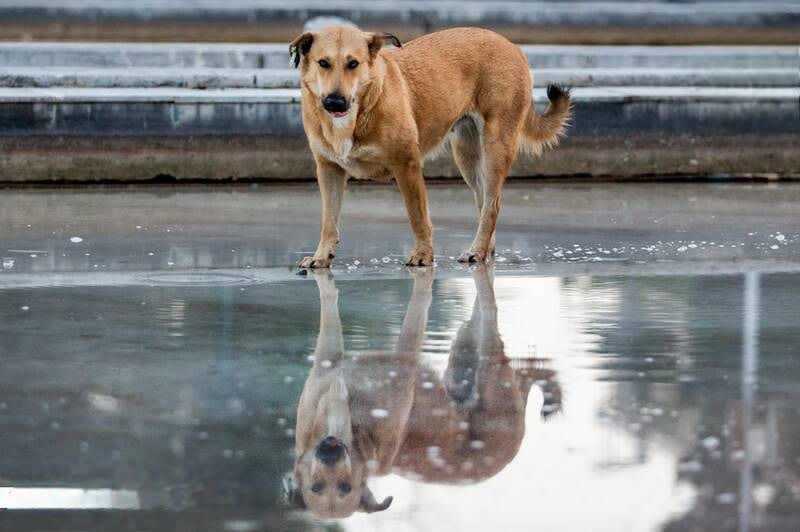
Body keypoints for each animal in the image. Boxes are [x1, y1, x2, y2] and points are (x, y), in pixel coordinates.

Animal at [286, 268, 564, 516]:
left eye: (346, 488)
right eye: (316, 487)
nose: (330, 451)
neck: (349, 423)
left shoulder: (405, 361)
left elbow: (418, 305)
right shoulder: (328, 358)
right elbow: (329, 300)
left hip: (490, 360)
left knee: (494, 314)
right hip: (466, 348)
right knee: (523, 368)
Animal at [290, 25, 572, 268]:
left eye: (353, 63)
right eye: (323, 63)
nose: (335, 102)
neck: (360, 109)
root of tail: (511, 45)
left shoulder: (407, 165)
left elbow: (417, 216)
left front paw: (423, 255)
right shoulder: (328, 170)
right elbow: (328, 220)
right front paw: (321, 256)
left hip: (496, 146)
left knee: (493, 204)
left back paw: (477, 250)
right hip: (467, 156)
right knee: (483, 203)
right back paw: (484, 251)